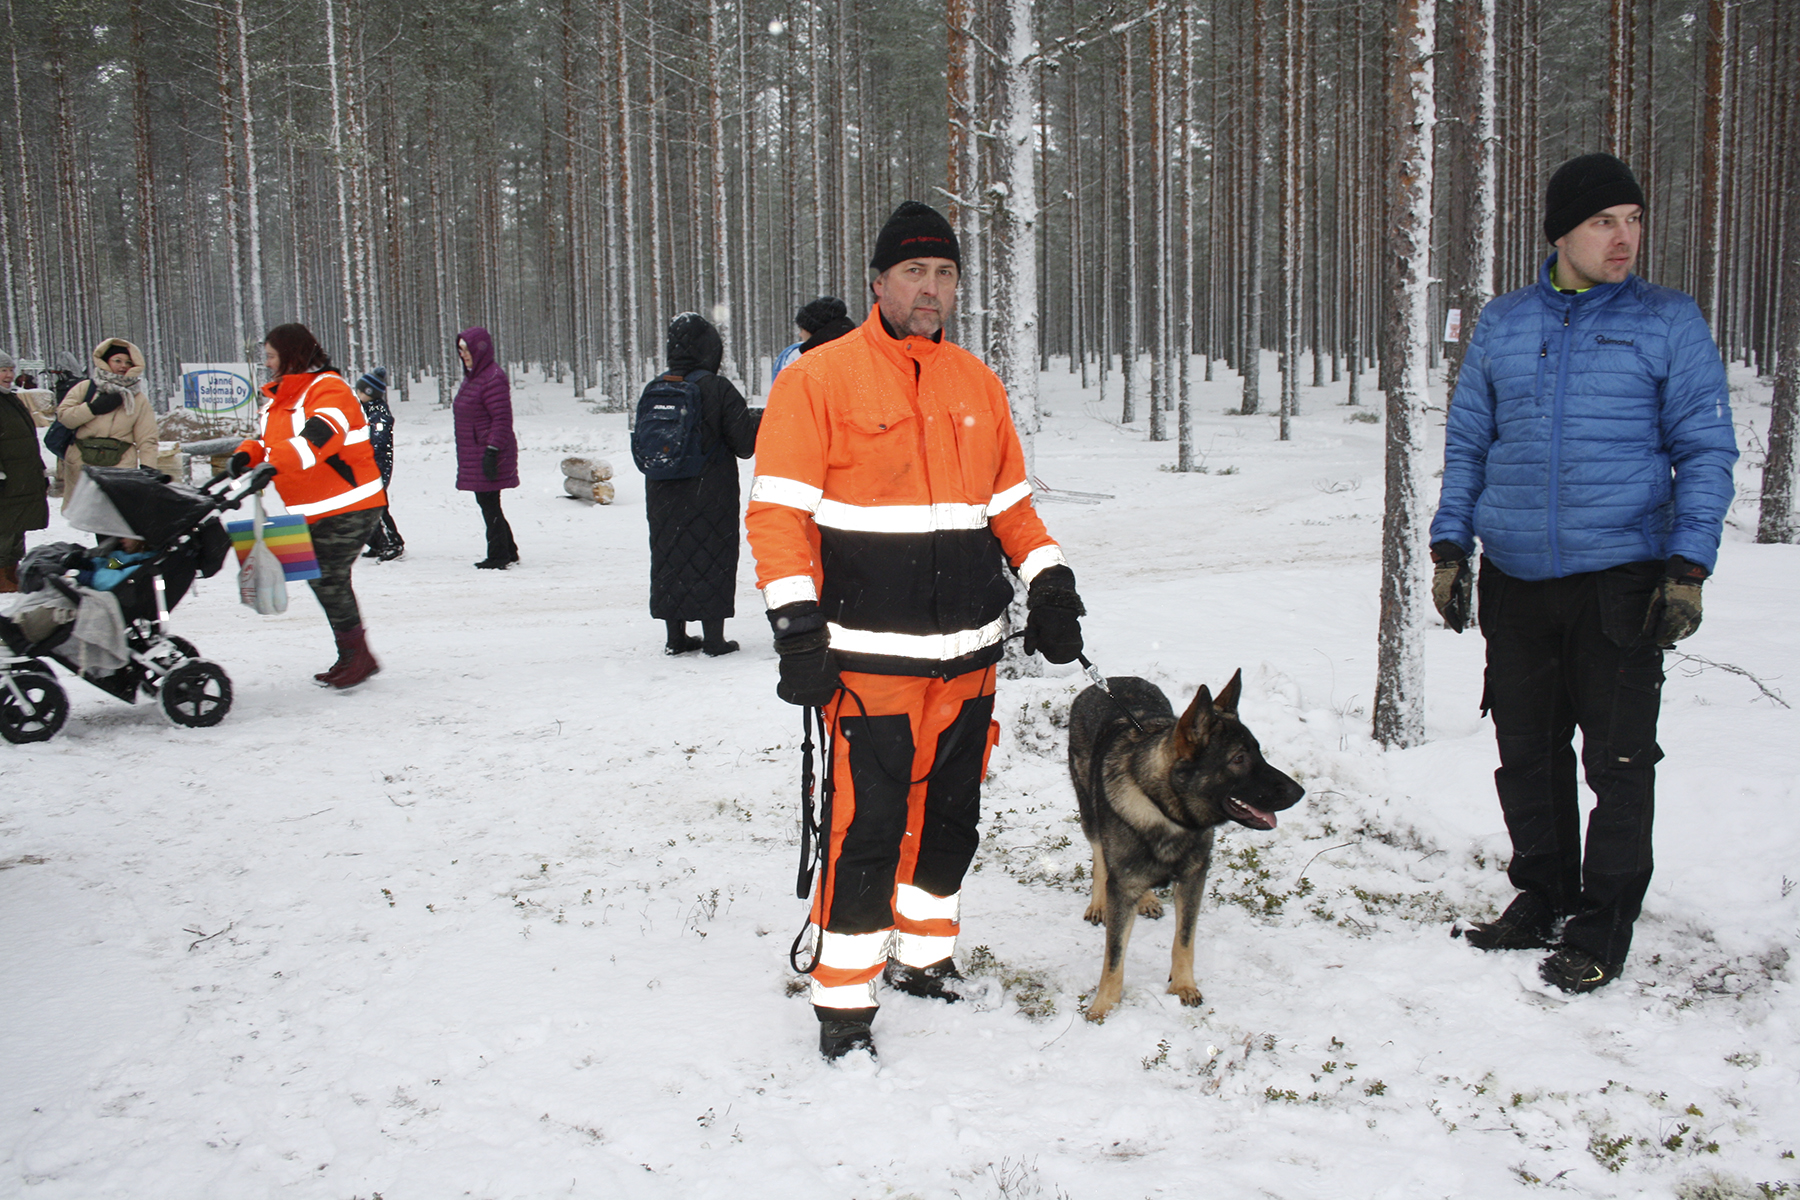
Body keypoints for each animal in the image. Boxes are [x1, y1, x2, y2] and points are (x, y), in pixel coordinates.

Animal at [1065, 672, 1310, 1021]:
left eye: (1259, 752)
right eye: (1238, 759)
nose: (1300, 792)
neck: (1166, 812)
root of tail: (1112, 679)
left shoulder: (1194, 879)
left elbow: (1184, 940)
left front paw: (1182, 985)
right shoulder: (1122, 886)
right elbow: (1114, 956)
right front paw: (1104, 1005)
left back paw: (1148, 899)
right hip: (1089, 811)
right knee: (1099, 855)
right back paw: (1099, 902)